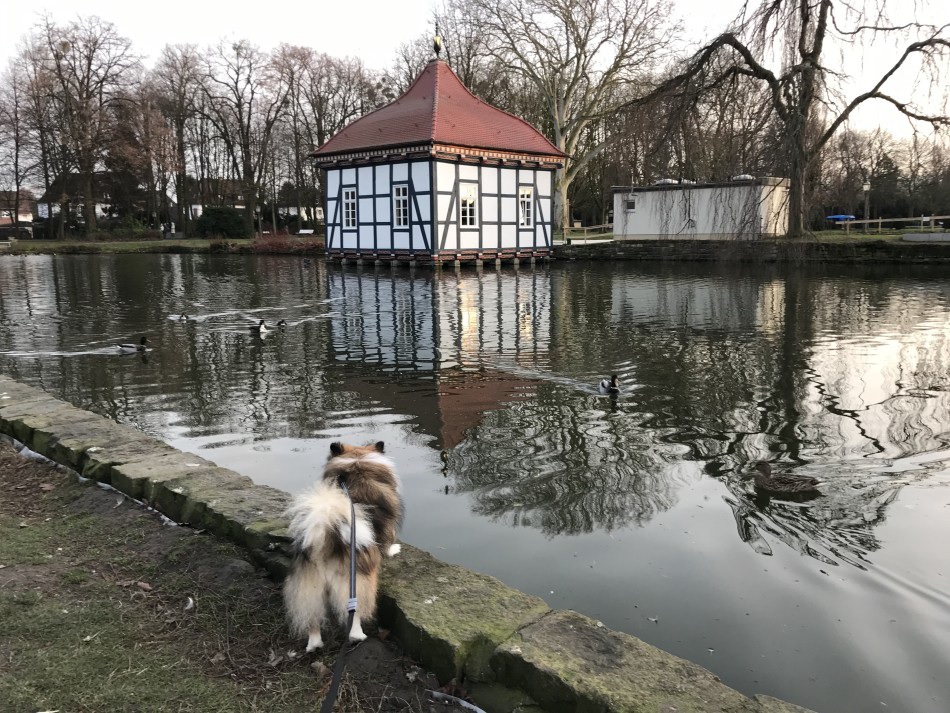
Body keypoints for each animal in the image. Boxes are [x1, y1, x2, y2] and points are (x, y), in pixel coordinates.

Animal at [283, 440, 403, 651]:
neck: (357, 463)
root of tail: (326, 543)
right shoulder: (388, 529)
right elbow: (388, 545)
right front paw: (395, 549)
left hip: (309, 585)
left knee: (312, 616)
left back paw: (314, 644)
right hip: (356, 583)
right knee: (354, 613)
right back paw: (357, 636)